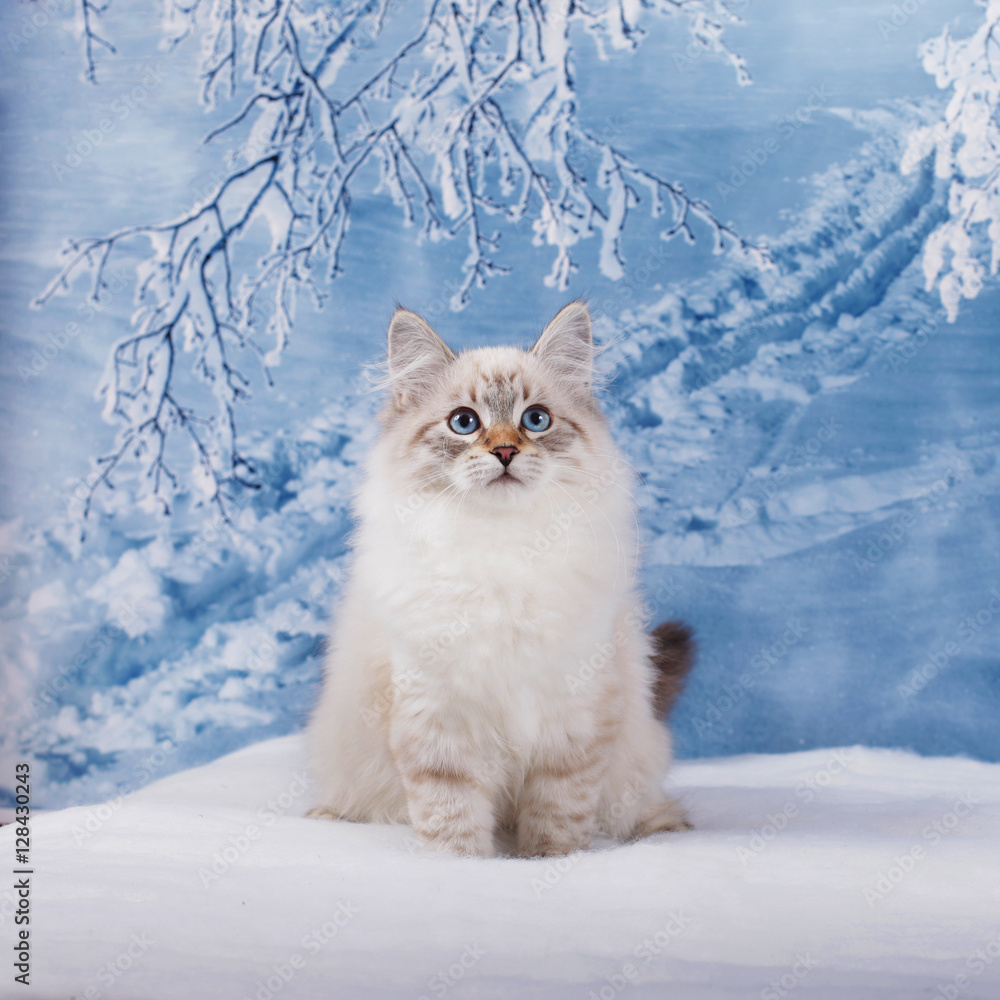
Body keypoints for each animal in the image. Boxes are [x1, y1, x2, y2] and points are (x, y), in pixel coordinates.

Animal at [308, 300, 692, 856]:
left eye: (536, 419)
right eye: (464, 423)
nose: (506, 452)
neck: (504, 549)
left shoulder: (573, 720)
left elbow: (558, 818)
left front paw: (547, 860)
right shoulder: (438, 721)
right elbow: (451, 820)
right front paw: (464, 864)